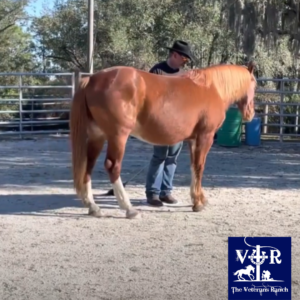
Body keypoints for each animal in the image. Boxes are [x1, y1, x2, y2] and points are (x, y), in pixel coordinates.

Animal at [69, 62, 256, 219]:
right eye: (254, 83)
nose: (250, 114)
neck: (212, 88)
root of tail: (92, 79)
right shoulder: (205, 137)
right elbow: (199, 167)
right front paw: (198, 203)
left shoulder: (192, 140)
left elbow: (193, 167)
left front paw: (198, 198)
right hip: (118, 136)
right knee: (112, 166)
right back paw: (129, 209)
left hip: (97, 136)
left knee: (88, 165)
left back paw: (93, 207)